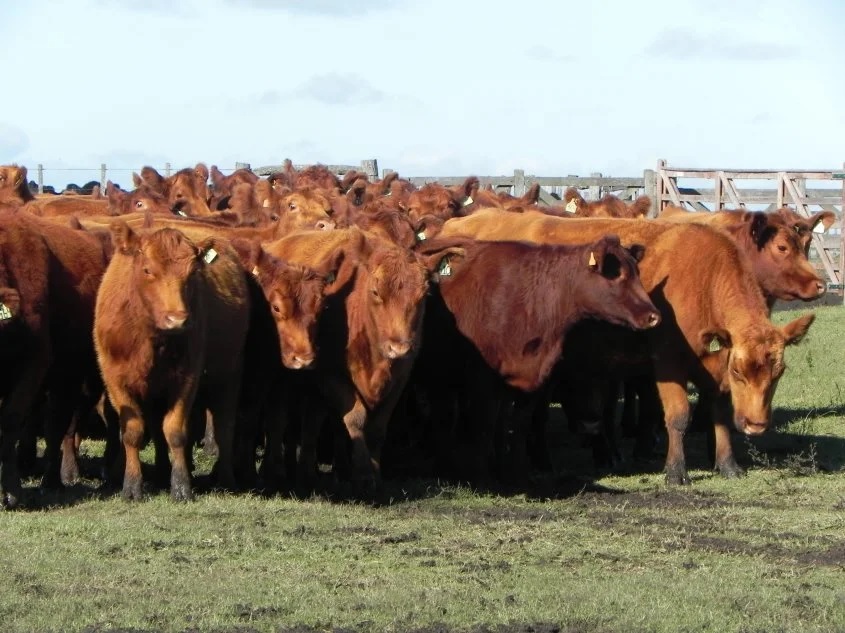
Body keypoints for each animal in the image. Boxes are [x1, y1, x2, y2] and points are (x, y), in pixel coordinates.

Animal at [95, 222, 251, 498]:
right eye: (147, 270)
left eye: (192, 273)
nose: (177, 319)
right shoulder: (115, 378)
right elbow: (133, 431)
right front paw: (132, 486)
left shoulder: (187, 378)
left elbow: (175, 430)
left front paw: (181, 485)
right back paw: (159, 472)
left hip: (229, 373)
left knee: (224, 426)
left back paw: (225, 479)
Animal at [446, 212, 816, 484]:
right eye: (783, 248)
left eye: (778, 373)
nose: (756, 425)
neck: (703, 276)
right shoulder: (667, 361)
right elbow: (678, 415)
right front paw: (676, 471)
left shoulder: (716, 359)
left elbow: (719, 410)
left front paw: (727, 464)